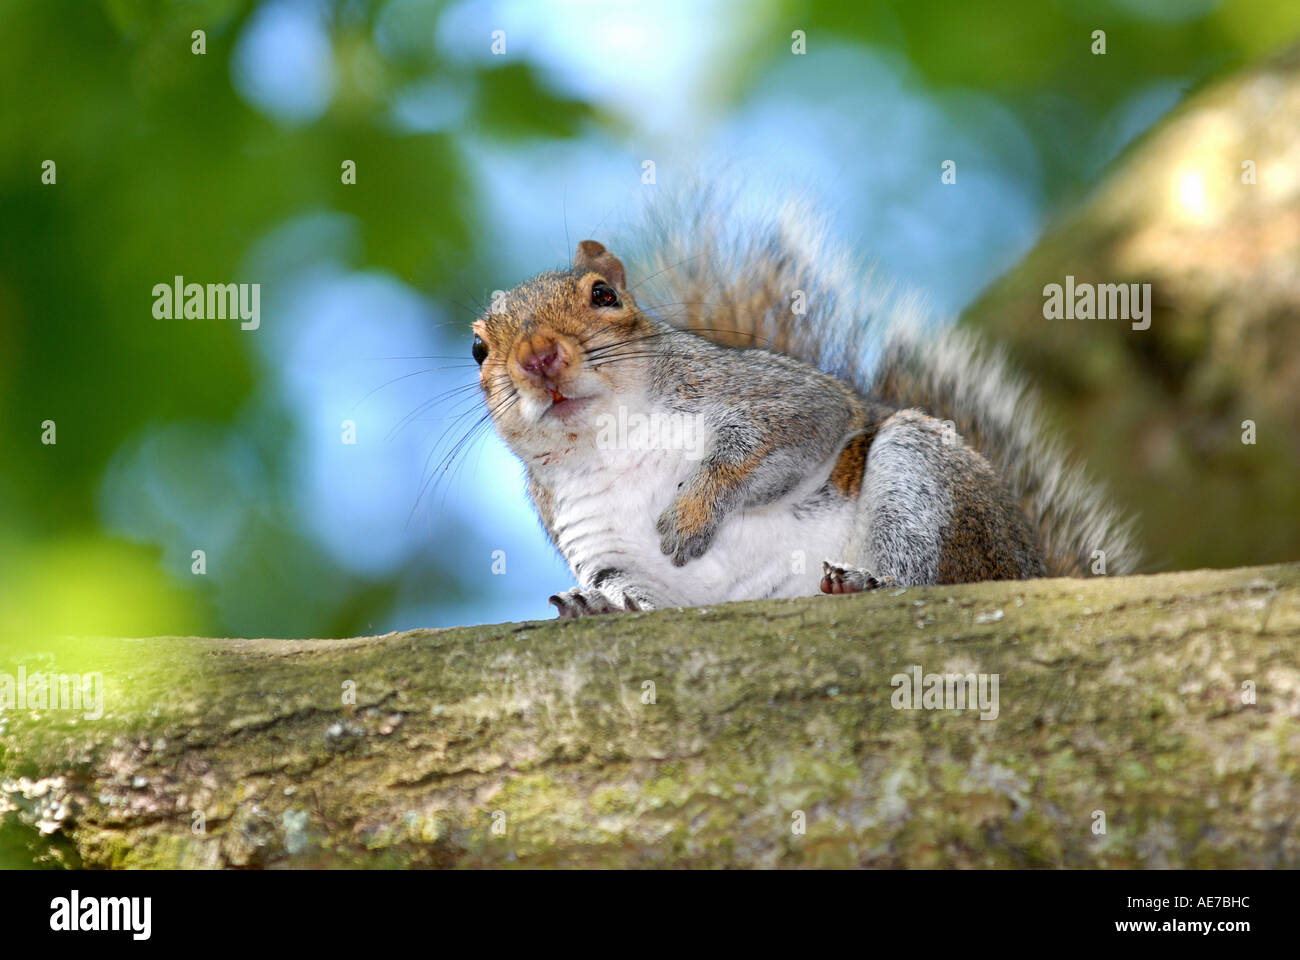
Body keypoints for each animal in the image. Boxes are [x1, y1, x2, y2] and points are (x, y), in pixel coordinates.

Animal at [470, 190, 1136, 617]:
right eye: (478, 348)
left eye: (604, 295)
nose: (538, 357)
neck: (610, 440)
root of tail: (1035, 570)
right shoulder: (596, 539)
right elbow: (633, 589)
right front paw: (602, 604)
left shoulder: (767, 394)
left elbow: (782, 433)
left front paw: (691, 515)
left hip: (927, 481)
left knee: (922, 567)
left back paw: (868, 583)